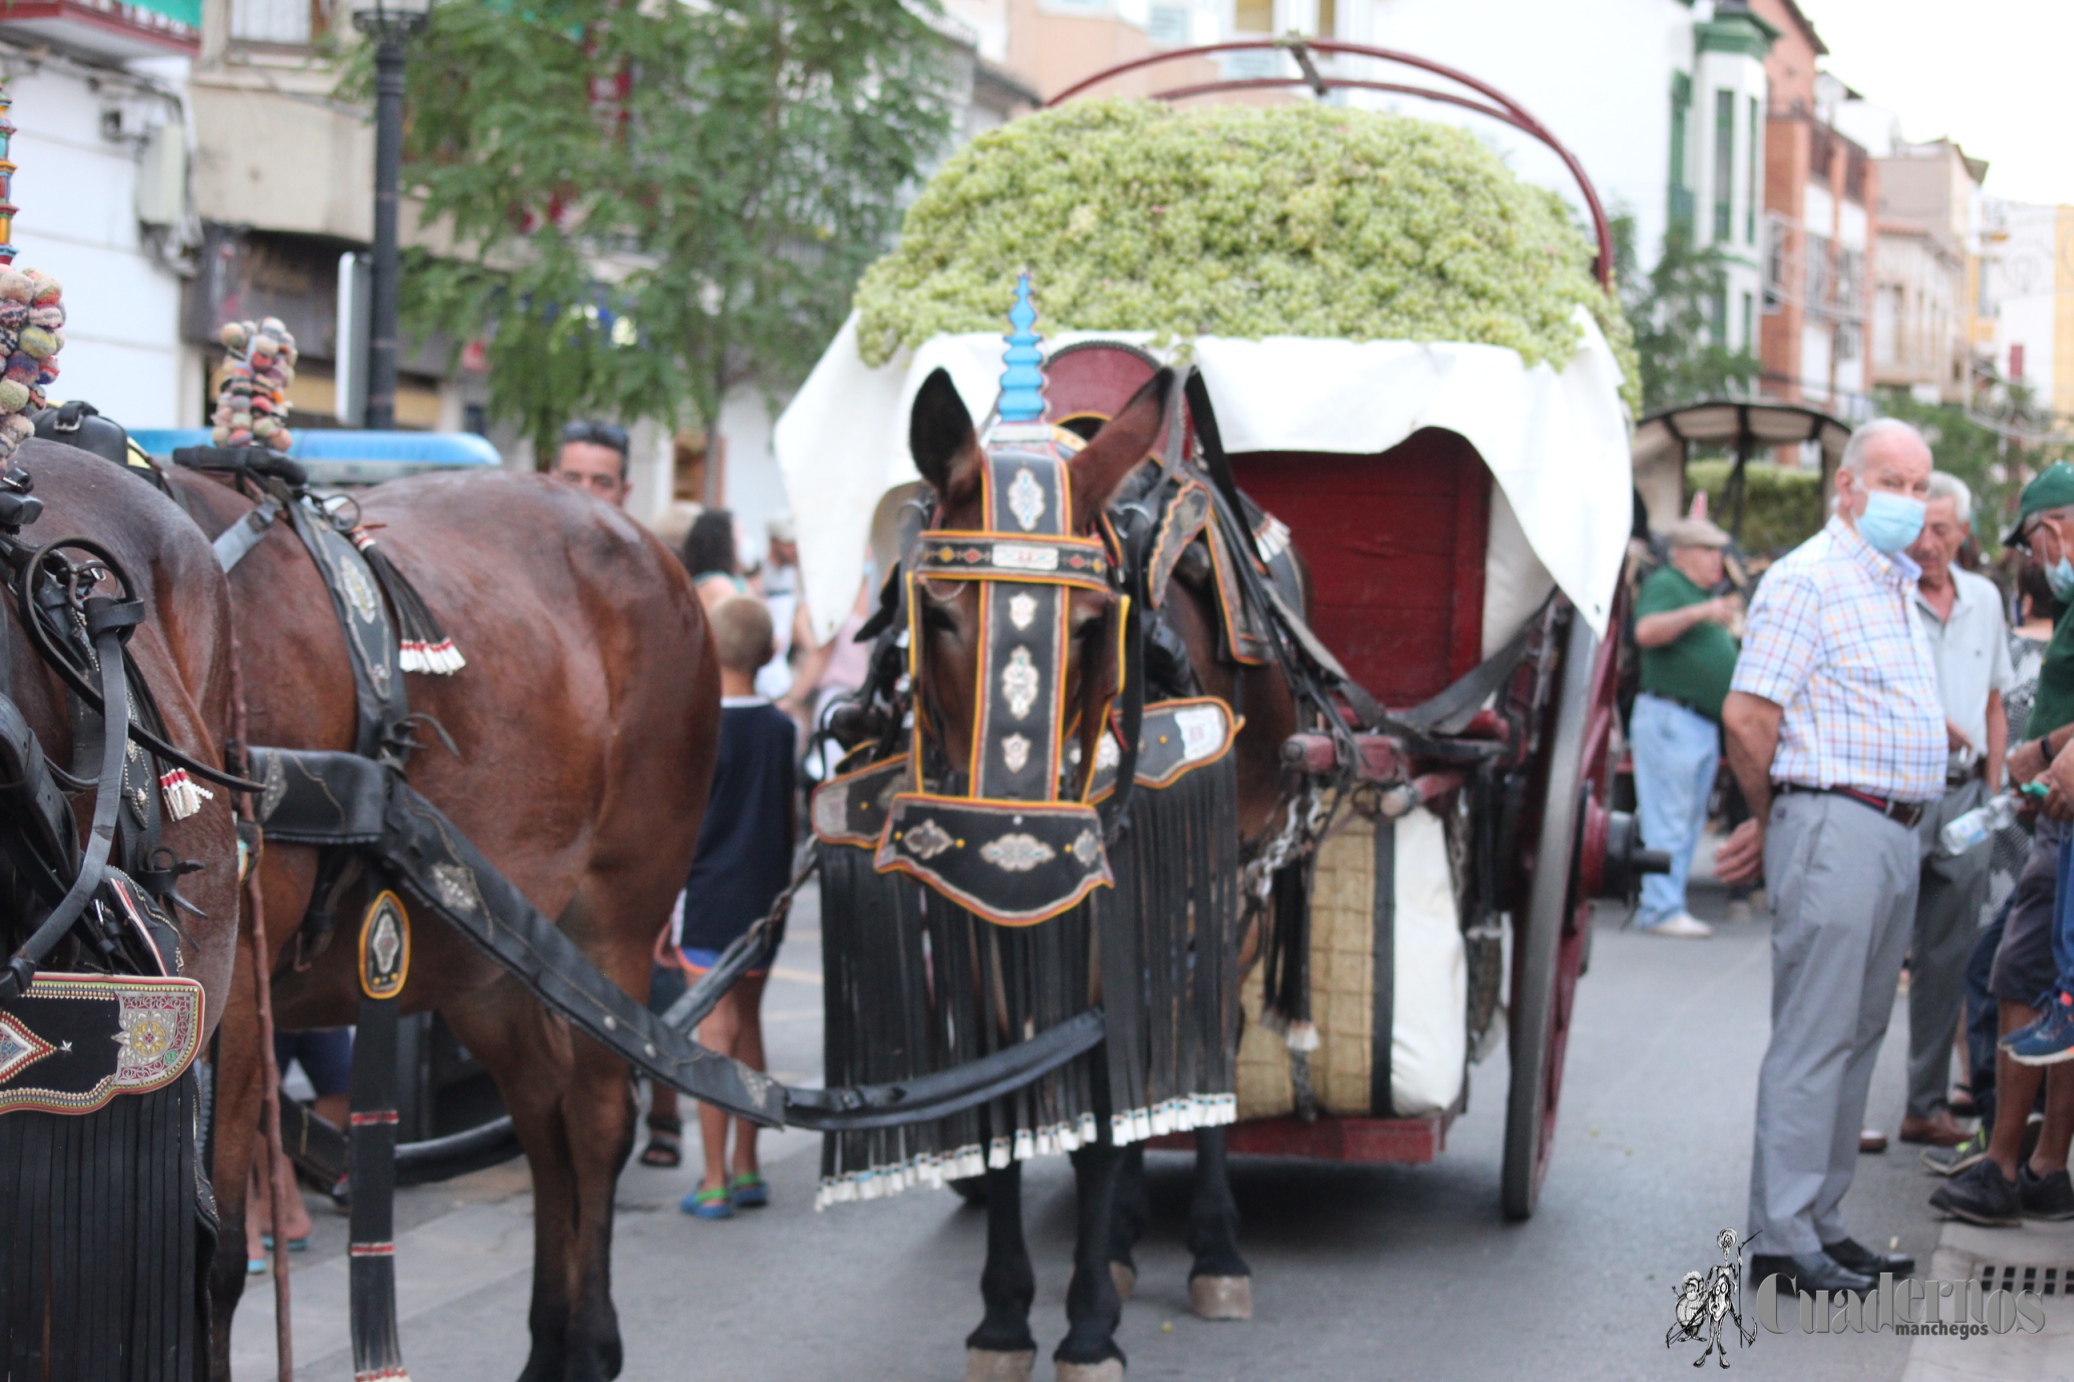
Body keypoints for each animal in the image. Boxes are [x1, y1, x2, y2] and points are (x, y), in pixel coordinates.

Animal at [163, 464, 713, 1377]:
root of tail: (638, 539)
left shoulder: (236, 997)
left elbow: (210, 1255)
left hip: (614, 918)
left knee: (596, 1118)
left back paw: (590, 1343)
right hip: (489, 959)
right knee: (542, 1115)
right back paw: (549, 1344)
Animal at [904, 369, 1302, 1377]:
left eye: (1092, 625)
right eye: (937, 613)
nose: (1006, 822)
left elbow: (1099, 1117)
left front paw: (1087, 1330)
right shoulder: (971, 916)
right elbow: (1003, 1101)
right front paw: (1005, 1317)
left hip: (1233, 889)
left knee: (1209, 1038)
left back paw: (1213, 1248)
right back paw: (1122, 1239)